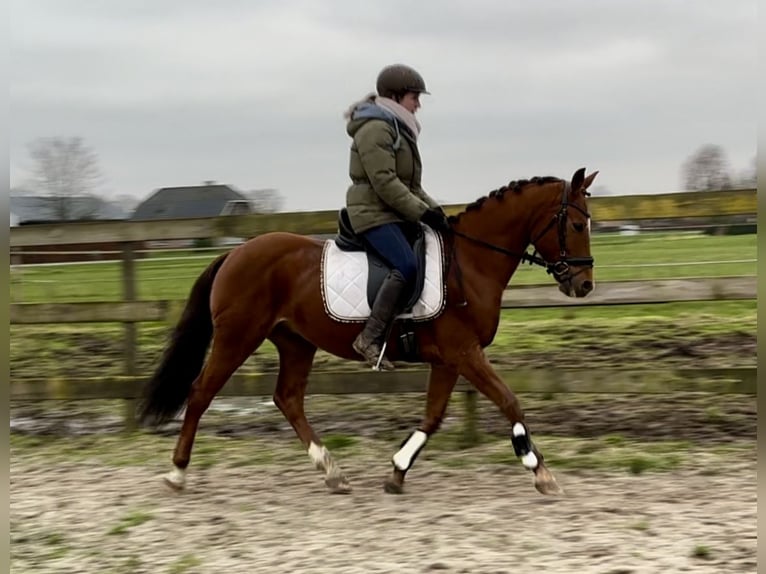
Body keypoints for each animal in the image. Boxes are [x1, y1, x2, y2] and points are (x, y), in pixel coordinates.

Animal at [138, 169, 600, 498]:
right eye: (578, 226)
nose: (583, 285)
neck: (471, 262)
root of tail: (234, 252)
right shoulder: (465, 353)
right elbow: (509, 401)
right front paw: (538, 469)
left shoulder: (450, 359)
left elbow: (433, 416)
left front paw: (397, 471)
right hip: (237, 338)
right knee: (201, 393)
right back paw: (177, 474)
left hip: (296, 343)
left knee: (288, 399)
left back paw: (332, 472)